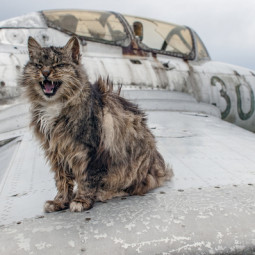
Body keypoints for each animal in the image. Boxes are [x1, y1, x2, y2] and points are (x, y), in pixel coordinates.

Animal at [20, 35, 173, 211]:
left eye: (58, 65)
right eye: (38, 65)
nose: (45, 72)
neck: (54, 105)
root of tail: (157, 167)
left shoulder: (90, 151)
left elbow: (87, 180)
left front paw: (81, 201)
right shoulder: (56, 152)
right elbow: (62, 181)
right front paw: (60, 201)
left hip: (133, 167)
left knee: (134, 187)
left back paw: (104, 193)